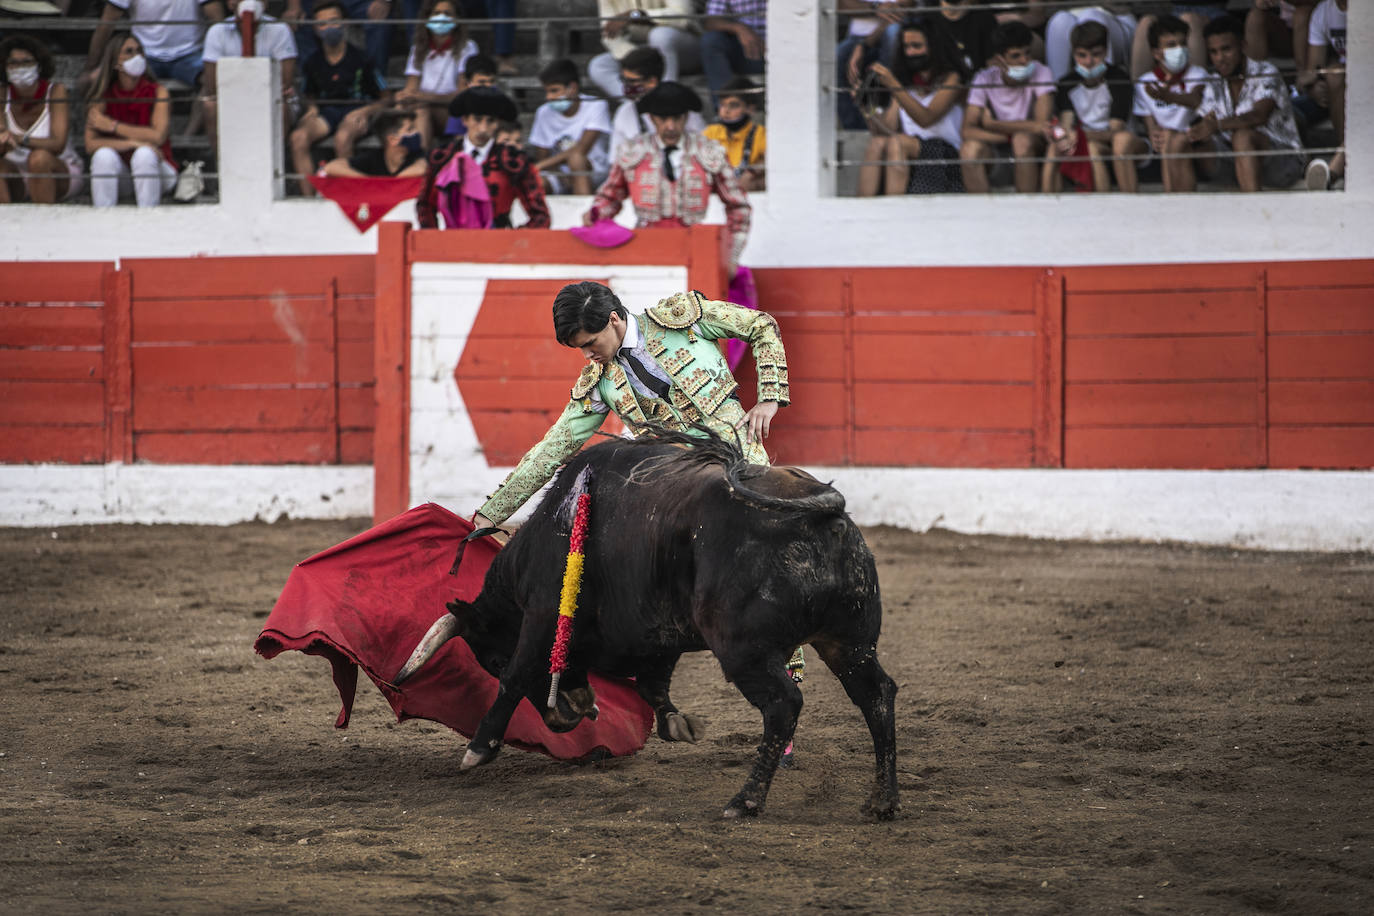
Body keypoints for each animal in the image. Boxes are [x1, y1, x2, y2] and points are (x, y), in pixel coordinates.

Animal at [395, 431, 901, 823]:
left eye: (493, 658)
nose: (562, 720)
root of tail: (820, 509)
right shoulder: (659, 630)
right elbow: (651, 684)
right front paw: (675, 723)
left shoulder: (541, 614)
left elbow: (517, 677)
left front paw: (479, 748)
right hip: (848, 641)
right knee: (877, 694)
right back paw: (883, 801)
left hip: (745, 650)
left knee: (783, 704)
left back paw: (746, 801)